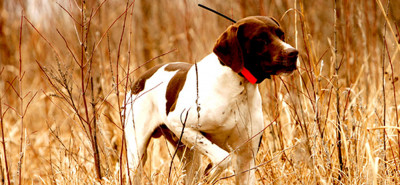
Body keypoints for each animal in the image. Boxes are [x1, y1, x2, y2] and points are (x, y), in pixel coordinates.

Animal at [124, 16, 296, 185]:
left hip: (188, 155)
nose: (293, 53)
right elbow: (223, 158)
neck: (237, 87)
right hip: (137, 155)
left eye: (281, 35)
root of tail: (138, 81)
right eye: (260, 39)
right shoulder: (180, 123)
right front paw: (210, 174)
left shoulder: (246, 158)